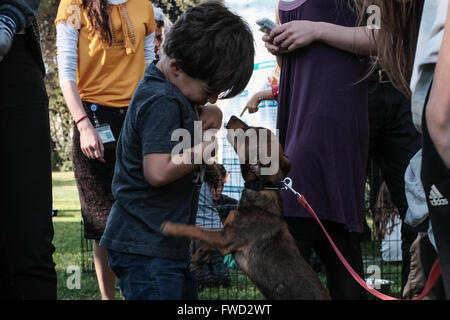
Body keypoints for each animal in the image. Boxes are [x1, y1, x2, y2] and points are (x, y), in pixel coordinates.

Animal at [162, 115, 330, 300]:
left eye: (250, 132)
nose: (232, 117)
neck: (261, 189)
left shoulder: (226, 238)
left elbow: (198, 230)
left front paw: (171, 226)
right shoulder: (226, 236)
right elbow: (208, 238)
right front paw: (200, 256)